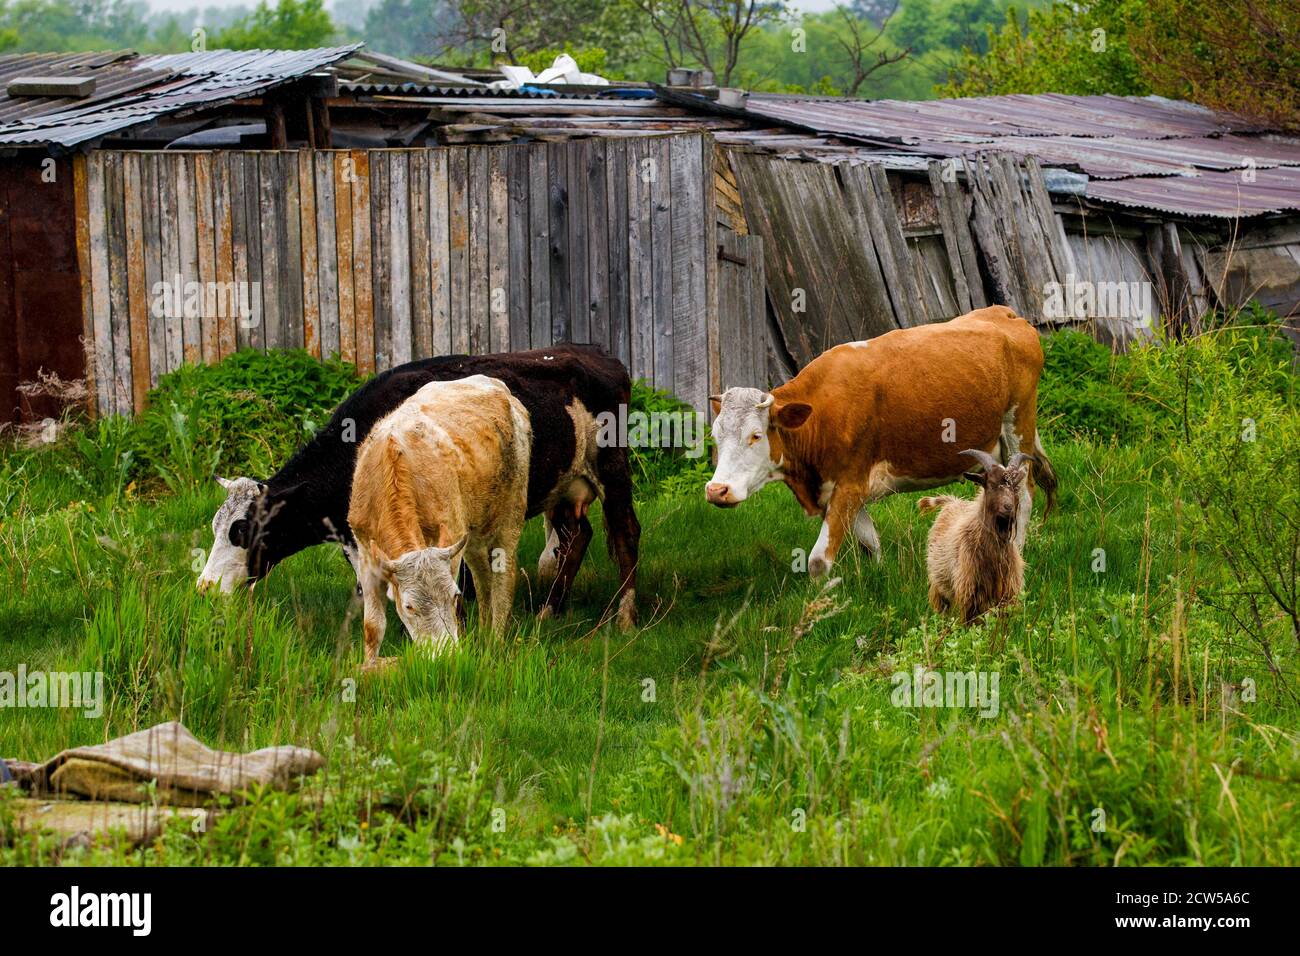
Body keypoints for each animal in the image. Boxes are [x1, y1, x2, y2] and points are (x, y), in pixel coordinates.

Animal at [197, 345, 640, 629]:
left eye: (242, 531)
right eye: (215, 527)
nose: (204, 588)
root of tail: (598, 355)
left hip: (612, 468)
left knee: (624, 534)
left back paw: (625, 618)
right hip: (563, 487)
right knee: (576, 537)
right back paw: (551, 610)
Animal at [349, 376, 530, 667]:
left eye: (454, 595)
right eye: (409, 606)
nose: (445, 655)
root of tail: (492, 382)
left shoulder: (451, 534)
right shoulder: (367, 557)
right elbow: (373, 627)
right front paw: (370, 666)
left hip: (510, 514)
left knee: (503, 578)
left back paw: (495, 642)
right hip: (474, 532)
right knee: (483, 579)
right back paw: (484, 635)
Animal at [705, 306, 1058, 578]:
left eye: (755, 435)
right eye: (715, 436)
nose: (717, 490)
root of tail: (1004, 313)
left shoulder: (851, 484)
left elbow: (818, 561)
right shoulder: (840, 489)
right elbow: (868, 542)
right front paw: (878, 578)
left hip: (1018, 425)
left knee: (1025, 495)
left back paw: (1017, 549)